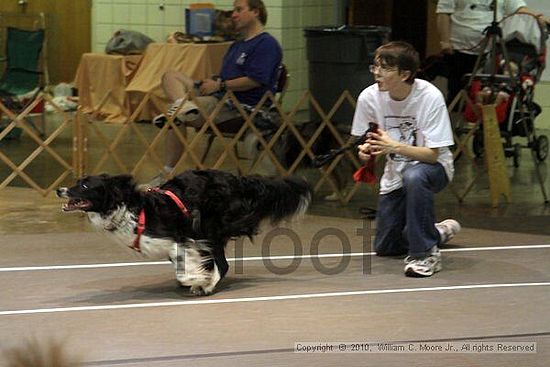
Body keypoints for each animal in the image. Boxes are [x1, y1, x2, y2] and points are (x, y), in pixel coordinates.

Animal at [58, 170, 314, 296]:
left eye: (84, 186)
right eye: (77, 181)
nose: (59, 190)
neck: (129, 209)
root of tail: (239, 181)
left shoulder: (181, 239)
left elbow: (185, 272)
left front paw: (200, 280)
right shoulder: (179, 246)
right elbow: (185, 267)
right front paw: (198, 277)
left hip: (211, 227)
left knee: (223, 264)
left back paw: (208, 287)